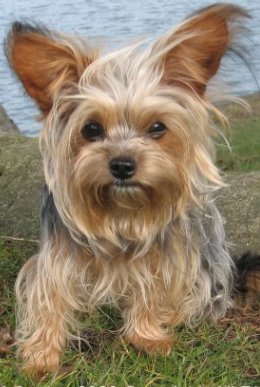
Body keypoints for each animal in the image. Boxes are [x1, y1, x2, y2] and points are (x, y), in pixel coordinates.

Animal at [5, 3, 251, 376]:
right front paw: (41, 357)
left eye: (157, 127)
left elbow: (149, 292)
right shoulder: (57, 258)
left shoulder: (162, 259)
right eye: (91, 129)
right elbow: (50, 297)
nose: (122, 165)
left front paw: (147, 336)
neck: (121, 212)